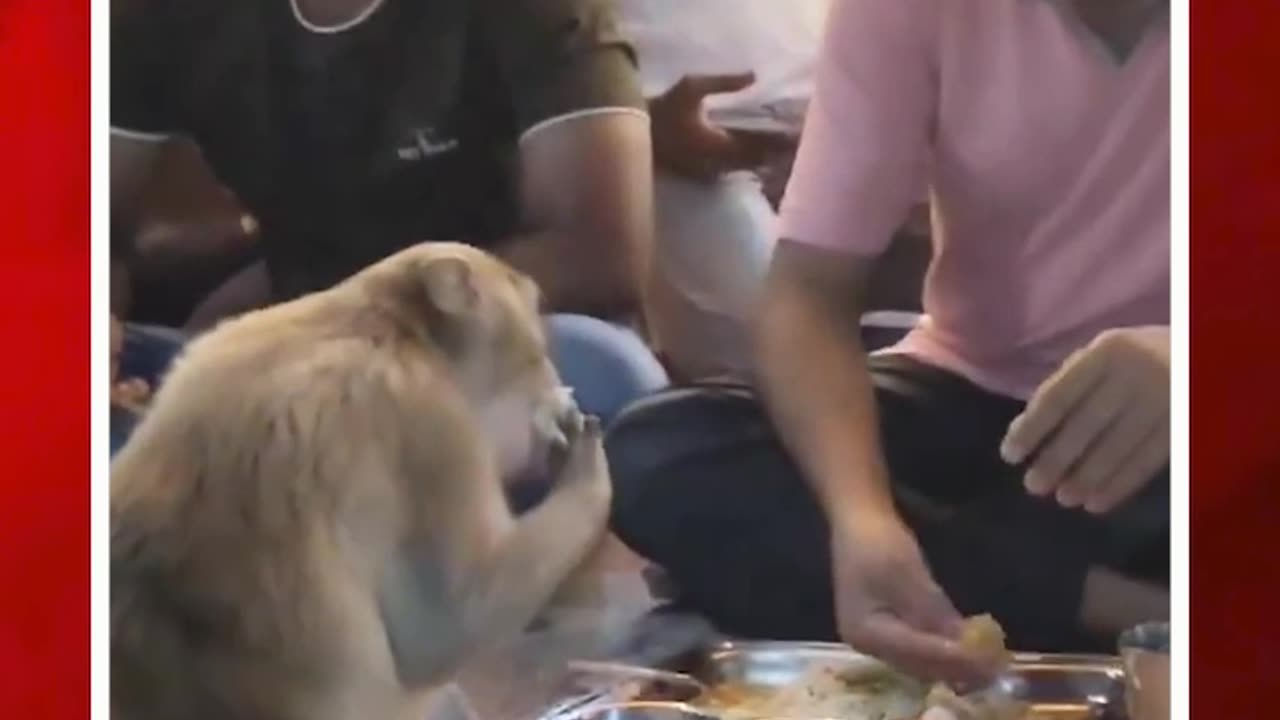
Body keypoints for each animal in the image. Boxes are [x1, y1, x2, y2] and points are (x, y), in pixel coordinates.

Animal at [108, 242, 609, 717]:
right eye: (537, 348)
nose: (554, 379)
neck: (385, 327)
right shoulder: (430, 426)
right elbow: (445, 626)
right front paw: (585, 467)